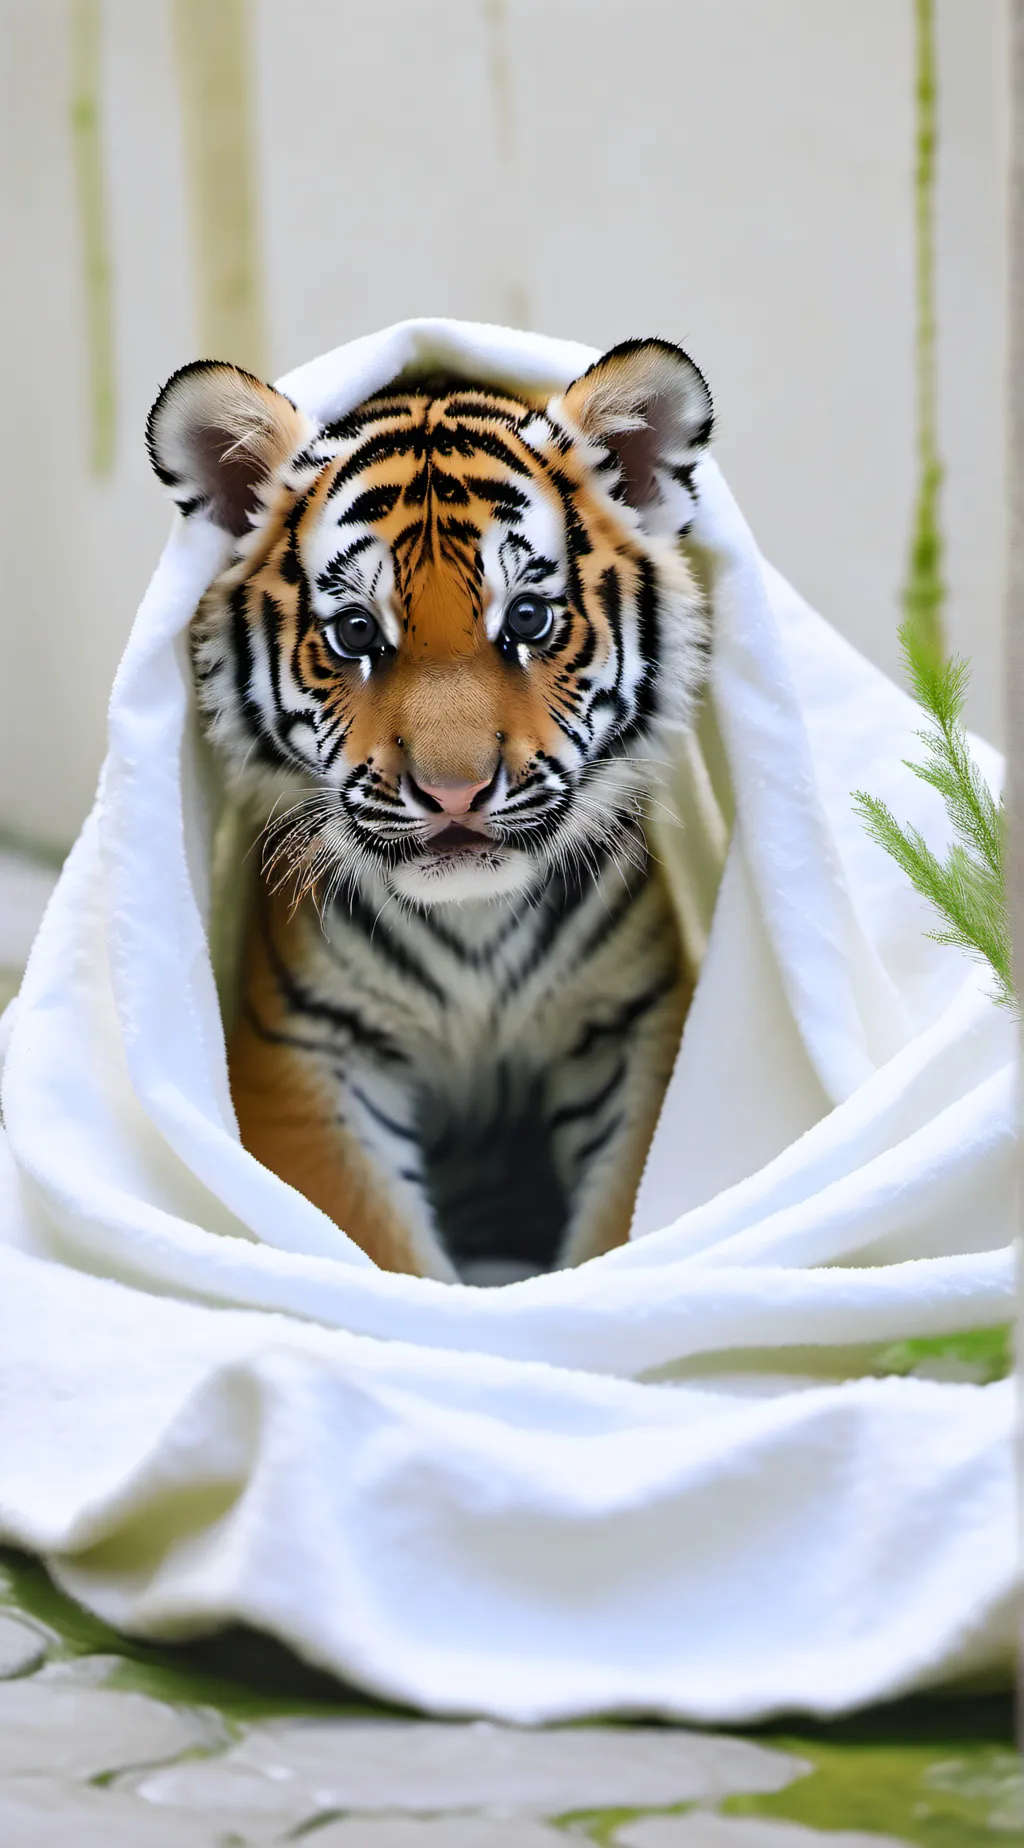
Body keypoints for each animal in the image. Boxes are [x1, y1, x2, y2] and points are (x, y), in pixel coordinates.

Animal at [145, 337, 713, 1284]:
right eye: (354, 633)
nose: (454, 791)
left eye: (528, 617)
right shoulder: (310, 1050)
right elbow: (379, 1253)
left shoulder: (636, 1028)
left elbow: (622, 1226)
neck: (473, 924)